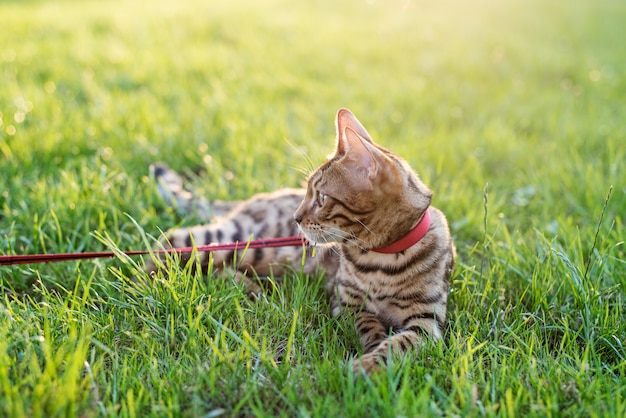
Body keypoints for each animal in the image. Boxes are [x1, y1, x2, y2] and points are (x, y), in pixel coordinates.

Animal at [146, 109, 454, 374]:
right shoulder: (345, 300)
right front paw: (369, 354)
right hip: (240, 241)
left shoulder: (427, 321)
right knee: (170, 243)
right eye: (308, 192)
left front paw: (370, 364)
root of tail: (253, 200)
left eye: (322, 198)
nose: (296, 217)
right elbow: (367, 323)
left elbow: (400, 345)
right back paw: (156, 281)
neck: (381, 257)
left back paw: (250, 288)